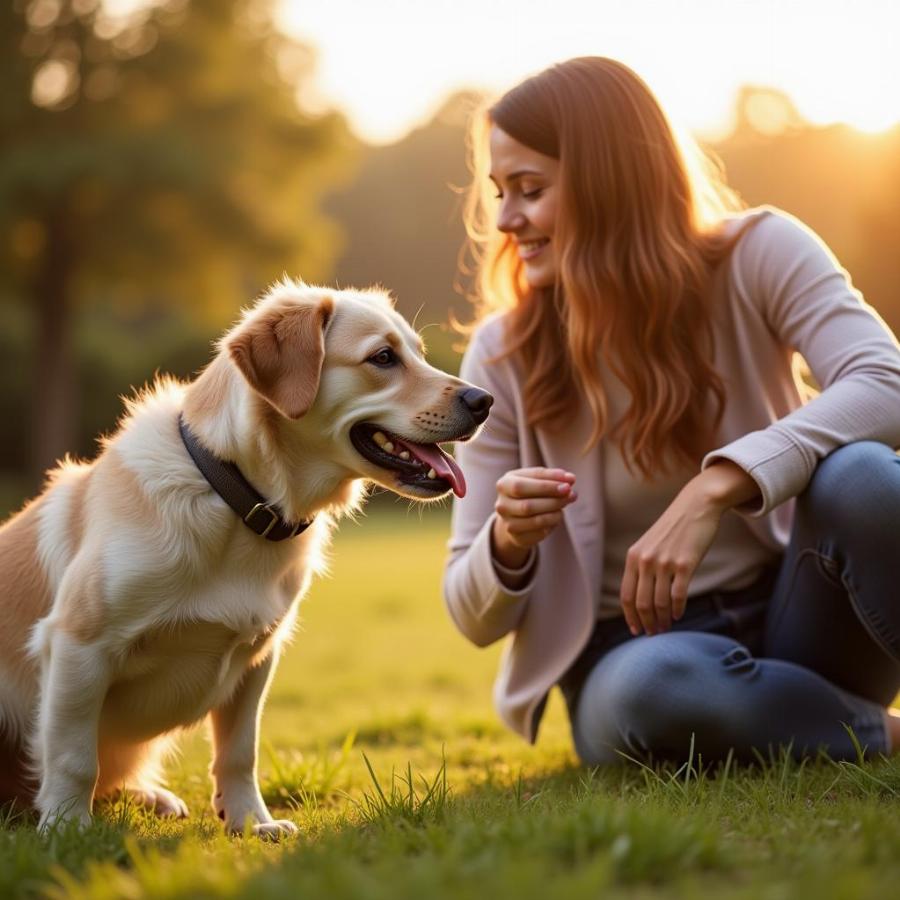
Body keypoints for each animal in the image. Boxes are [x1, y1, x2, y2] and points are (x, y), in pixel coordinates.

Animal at [0, 284, 492, 836]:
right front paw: (66, 827)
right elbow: (72, 754)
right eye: (383, 358)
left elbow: (239, 752)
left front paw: (251, 822)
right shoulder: (79, 643)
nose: (484, 400)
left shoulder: (257, 658)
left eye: (419, 354)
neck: (236, 497)